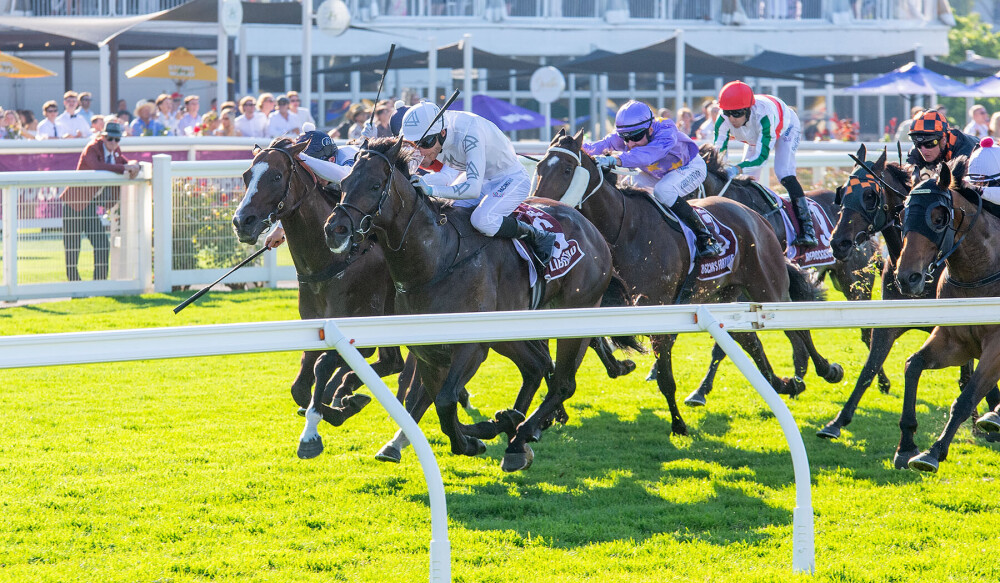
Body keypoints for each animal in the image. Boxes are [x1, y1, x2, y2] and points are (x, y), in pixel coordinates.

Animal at [323, 136, 639, 473]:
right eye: (344, 182)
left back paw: (522, 431)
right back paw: (515, 437)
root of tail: (594, 232)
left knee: (562, 383)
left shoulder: (471, 346)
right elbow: (432, 401)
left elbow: (445, 400)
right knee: (536, 368)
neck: (436, 260)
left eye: (374, 185)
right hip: (512, 330)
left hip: (573, 318)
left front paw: (478, 436)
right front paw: (484, 430)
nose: (334, 229)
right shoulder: (427, 350)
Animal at [531, 128, 831, 437]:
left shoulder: (658, 307)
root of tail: (755, 215)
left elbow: (666, 374)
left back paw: (826, 370)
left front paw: (678, 424)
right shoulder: (591, 304)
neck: (624, 229)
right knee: (751, 341)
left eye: (567, 169)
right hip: (725, 294)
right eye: (539, 167)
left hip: (767, 287)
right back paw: (784, 382)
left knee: (798, 328)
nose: (538, 207)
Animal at [819, 145, 998, 441]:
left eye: (870, 195)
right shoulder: (892, 322)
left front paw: (981, 422)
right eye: (842, 192)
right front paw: (836, 422)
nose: (838, 243)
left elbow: (969, 378)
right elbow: (868, 368)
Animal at [893, 159, 1000, 472]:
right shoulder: (956, 340)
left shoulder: (996, 345)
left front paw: (933, 452)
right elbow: (913, 365)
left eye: (938, 218)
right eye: (902, 214)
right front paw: (907, 445)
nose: (907, 278)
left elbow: (966, 398)